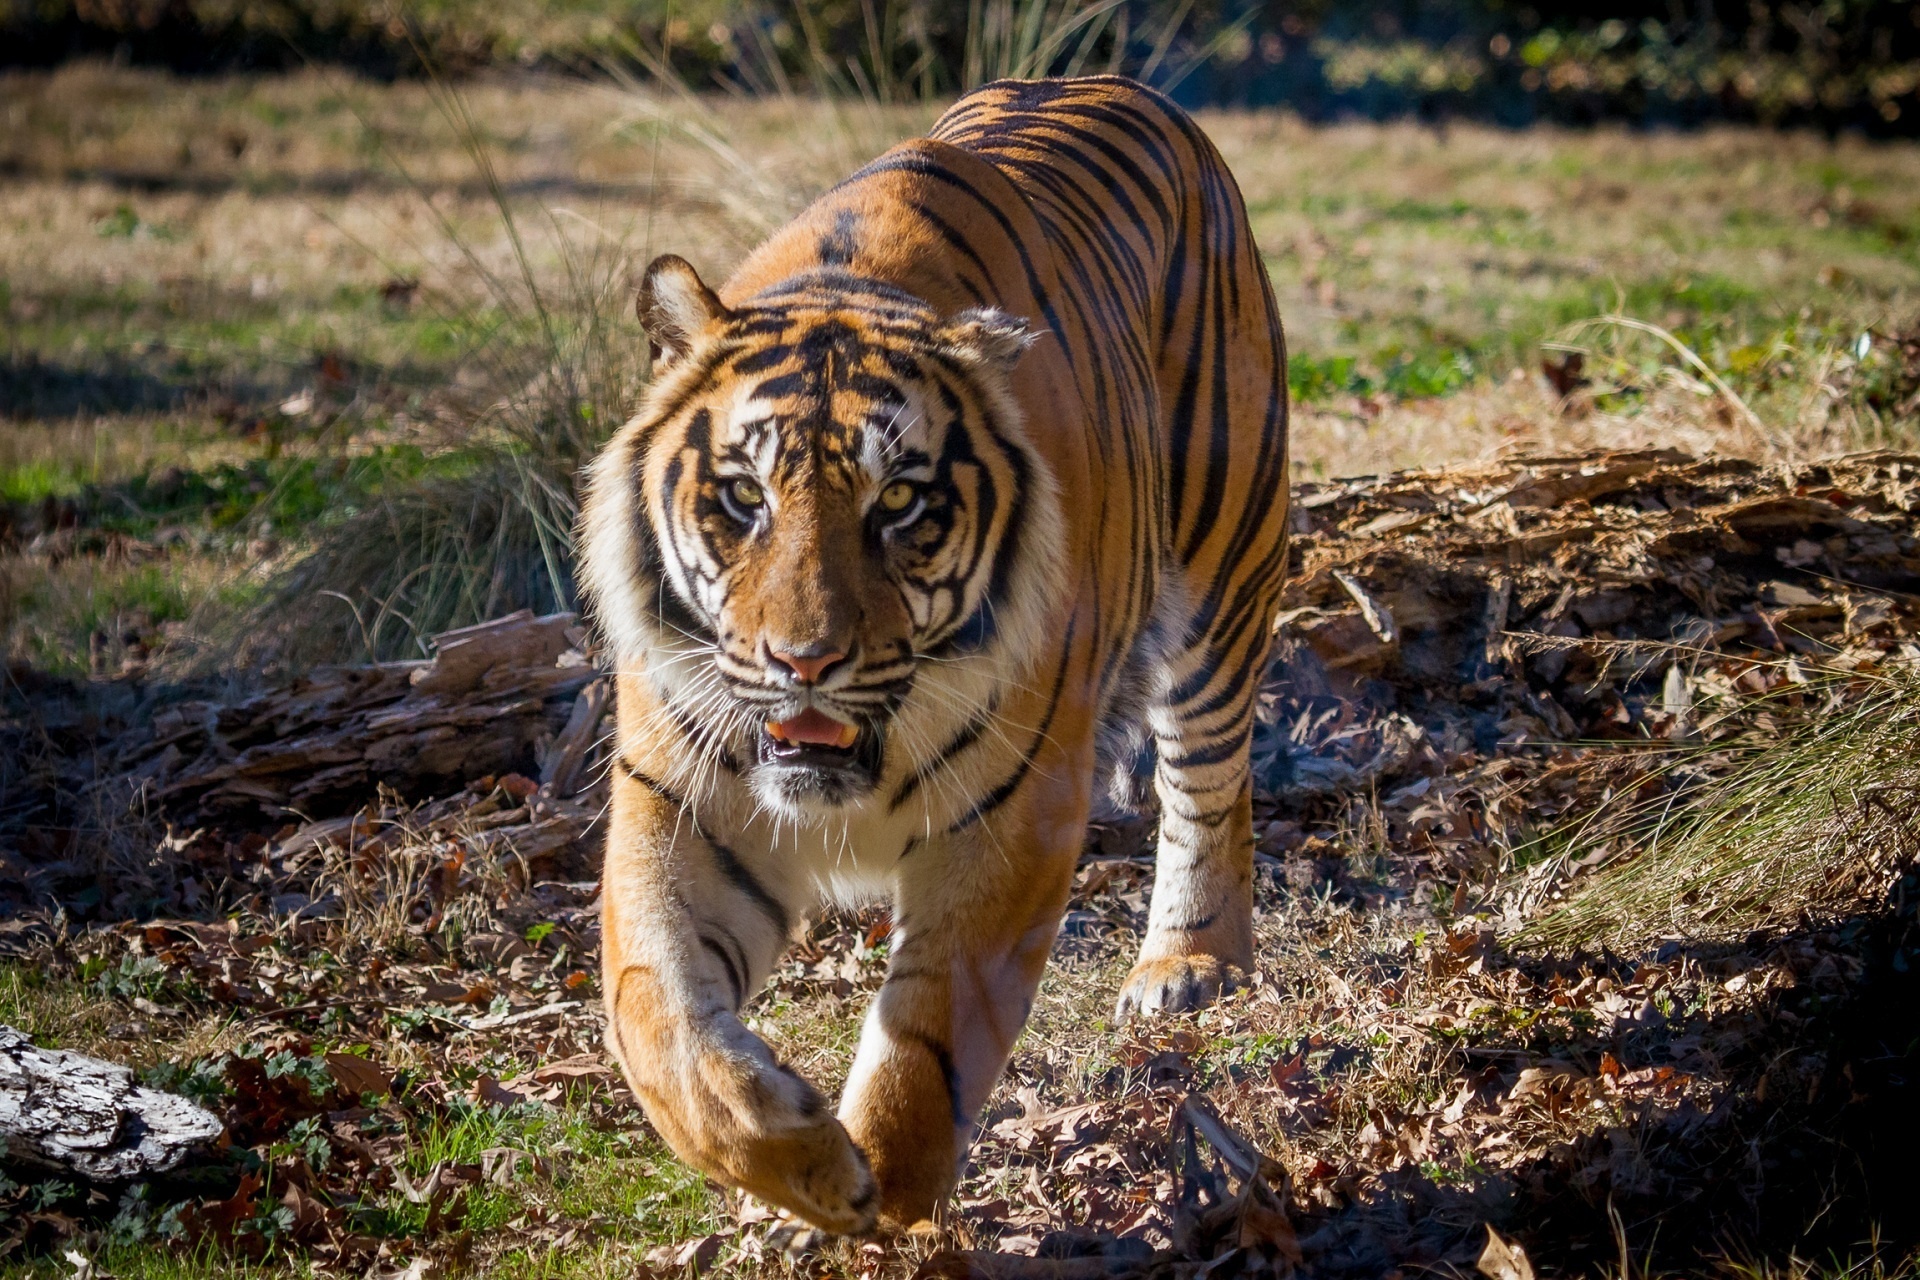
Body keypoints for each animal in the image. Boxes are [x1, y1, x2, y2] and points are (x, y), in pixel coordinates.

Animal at [578, 74, 1290, 1234]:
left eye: (900, 502)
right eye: (744, 496)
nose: (804, 662)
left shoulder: (1015, 808)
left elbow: (933, 1025)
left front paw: (889, 1180)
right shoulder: (675, 799)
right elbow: (659, 1018)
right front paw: (803, 1162)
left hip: (1223, 570)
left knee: (1210, 782)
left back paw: (1189, 965)